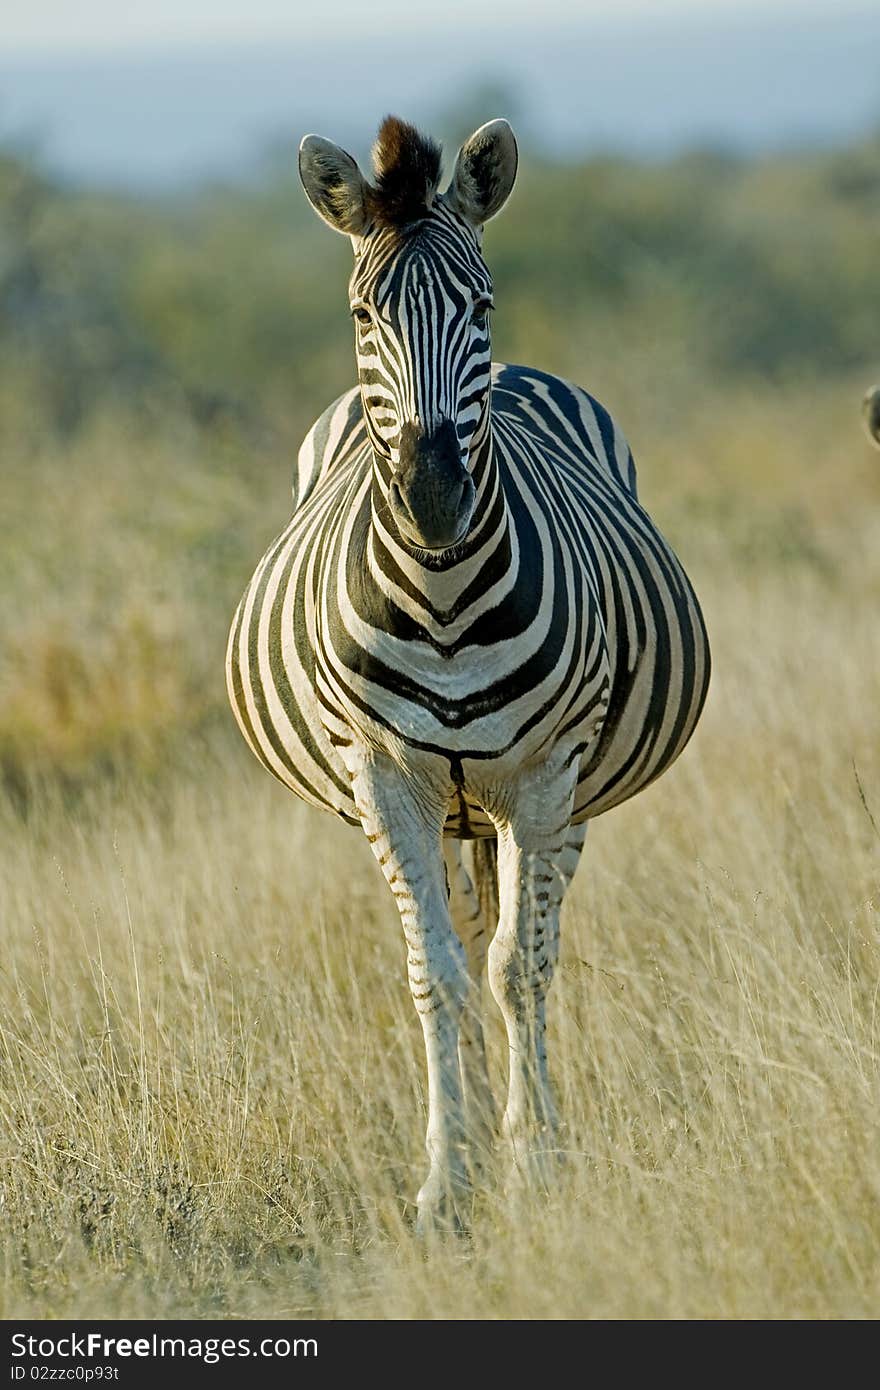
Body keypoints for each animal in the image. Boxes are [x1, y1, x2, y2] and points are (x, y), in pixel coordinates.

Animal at [225, 116, 706, 1228]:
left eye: (479, 306)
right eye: (363, 313)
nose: (434, 494)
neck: (443, 594)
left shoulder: (544, 771)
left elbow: (517, 970)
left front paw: (536, 1162)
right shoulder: (384, 778)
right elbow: (435, 974)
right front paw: (449, 1179)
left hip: (556, 801)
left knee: (528, 942)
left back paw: (527, 1123)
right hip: (450, 809)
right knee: (456, 936)